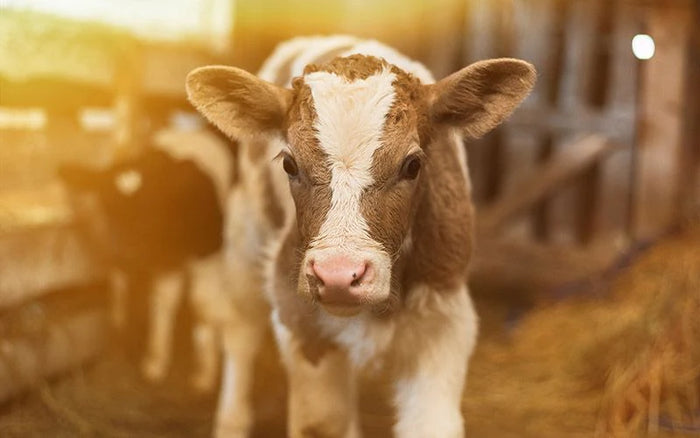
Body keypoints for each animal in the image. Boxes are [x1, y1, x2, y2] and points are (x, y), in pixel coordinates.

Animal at [58, 128, 233, 392]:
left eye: (153, 205)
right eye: (108, 207)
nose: (125, 255)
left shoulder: (209, 254)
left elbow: (201, 304)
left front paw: (205, 375)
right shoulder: (163, 262)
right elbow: (159, 300)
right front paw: (155, 362)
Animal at [187, 35, 536, 437]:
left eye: (413, 165)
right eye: (289, 163)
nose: (338, 275)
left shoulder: (444, 321)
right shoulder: (300, 322)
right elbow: (322, 421)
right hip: (246, 234)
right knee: (240, 330)